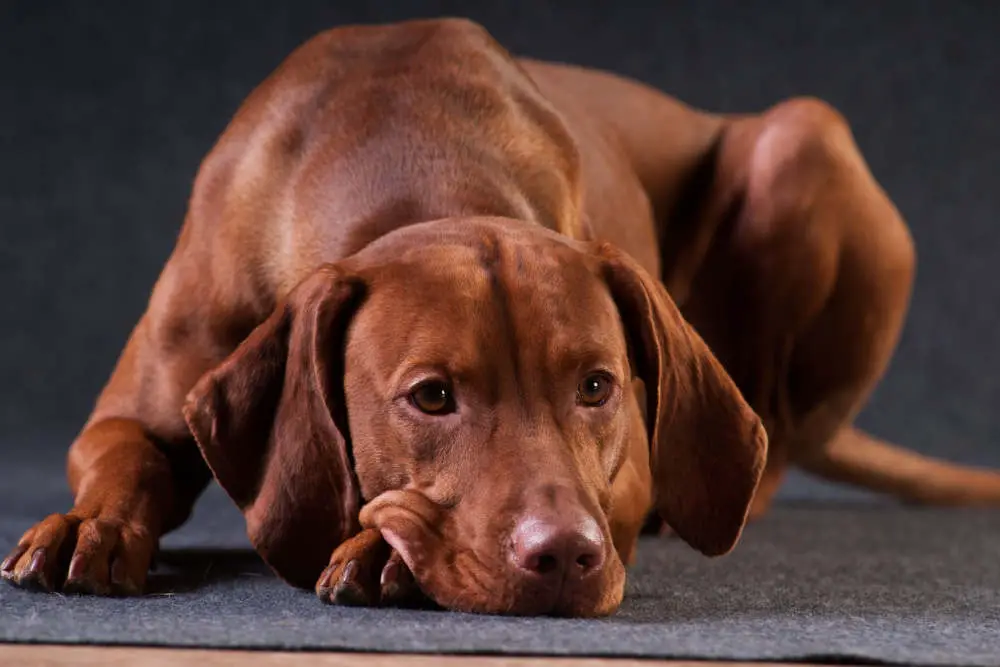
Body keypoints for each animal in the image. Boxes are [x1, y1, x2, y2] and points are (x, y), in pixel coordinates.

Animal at [1, 17, 1000, 620]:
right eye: (432, 396)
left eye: (596, 385)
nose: (564, 557)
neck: (411, 160)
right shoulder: (136, 408)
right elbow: (126, 456)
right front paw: (89, 524)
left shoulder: (625, 471)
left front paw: (381, 547)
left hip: (800, 135)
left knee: (772, 446)